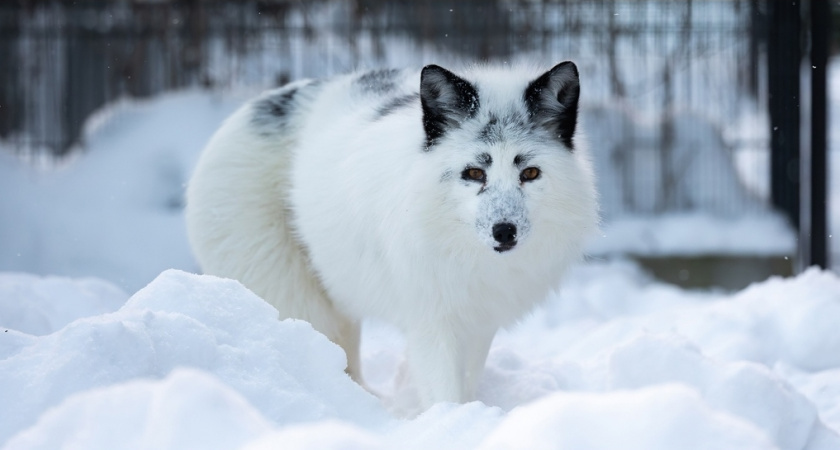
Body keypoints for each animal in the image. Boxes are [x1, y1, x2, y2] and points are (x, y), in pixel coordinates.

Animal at [185, 61, 598, 409]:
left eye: (530, 173)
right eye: (474, 173)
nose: (504, 231)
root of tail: (246, 110)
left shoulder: (479, 319)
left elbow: (466, 381)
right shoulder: (431, 319)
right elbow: (445, 392)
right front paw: (453, 422)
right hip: (295, 300)